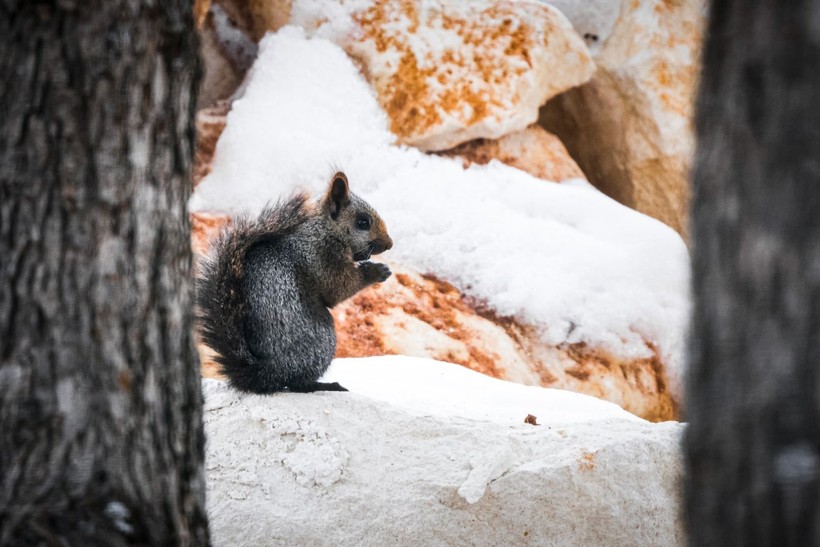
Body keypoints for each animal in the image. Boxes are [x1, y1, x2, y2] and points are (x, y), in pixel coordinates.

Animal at [197, 171, 392, 394]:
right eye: (362, 222)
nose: (389, 244)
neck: (324, 229)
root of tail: (267, 373)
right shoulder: (324, 258)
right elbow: (338, 289)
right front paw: (377, 271)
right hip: (322, 339)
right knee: (296, 383)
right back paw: (325, 385)